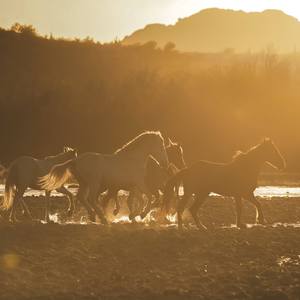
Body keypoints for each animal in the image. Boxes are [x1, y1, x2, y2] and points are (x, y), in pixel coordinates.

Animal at [40, 130, 169, 224]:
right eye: (161, 146)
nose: (165, 164)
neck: (132, 159)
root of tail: (75, 160)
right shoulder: (139, 183)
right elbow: (149, 197)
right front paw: (140, 214)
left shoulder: (133, 187)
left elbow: (140, 200)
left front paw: (134, 215)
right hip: (94, 183)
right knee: (91, 198)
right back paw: (102, 218)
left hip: (85, 184)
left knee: (82, 197)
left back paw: (93, 216)